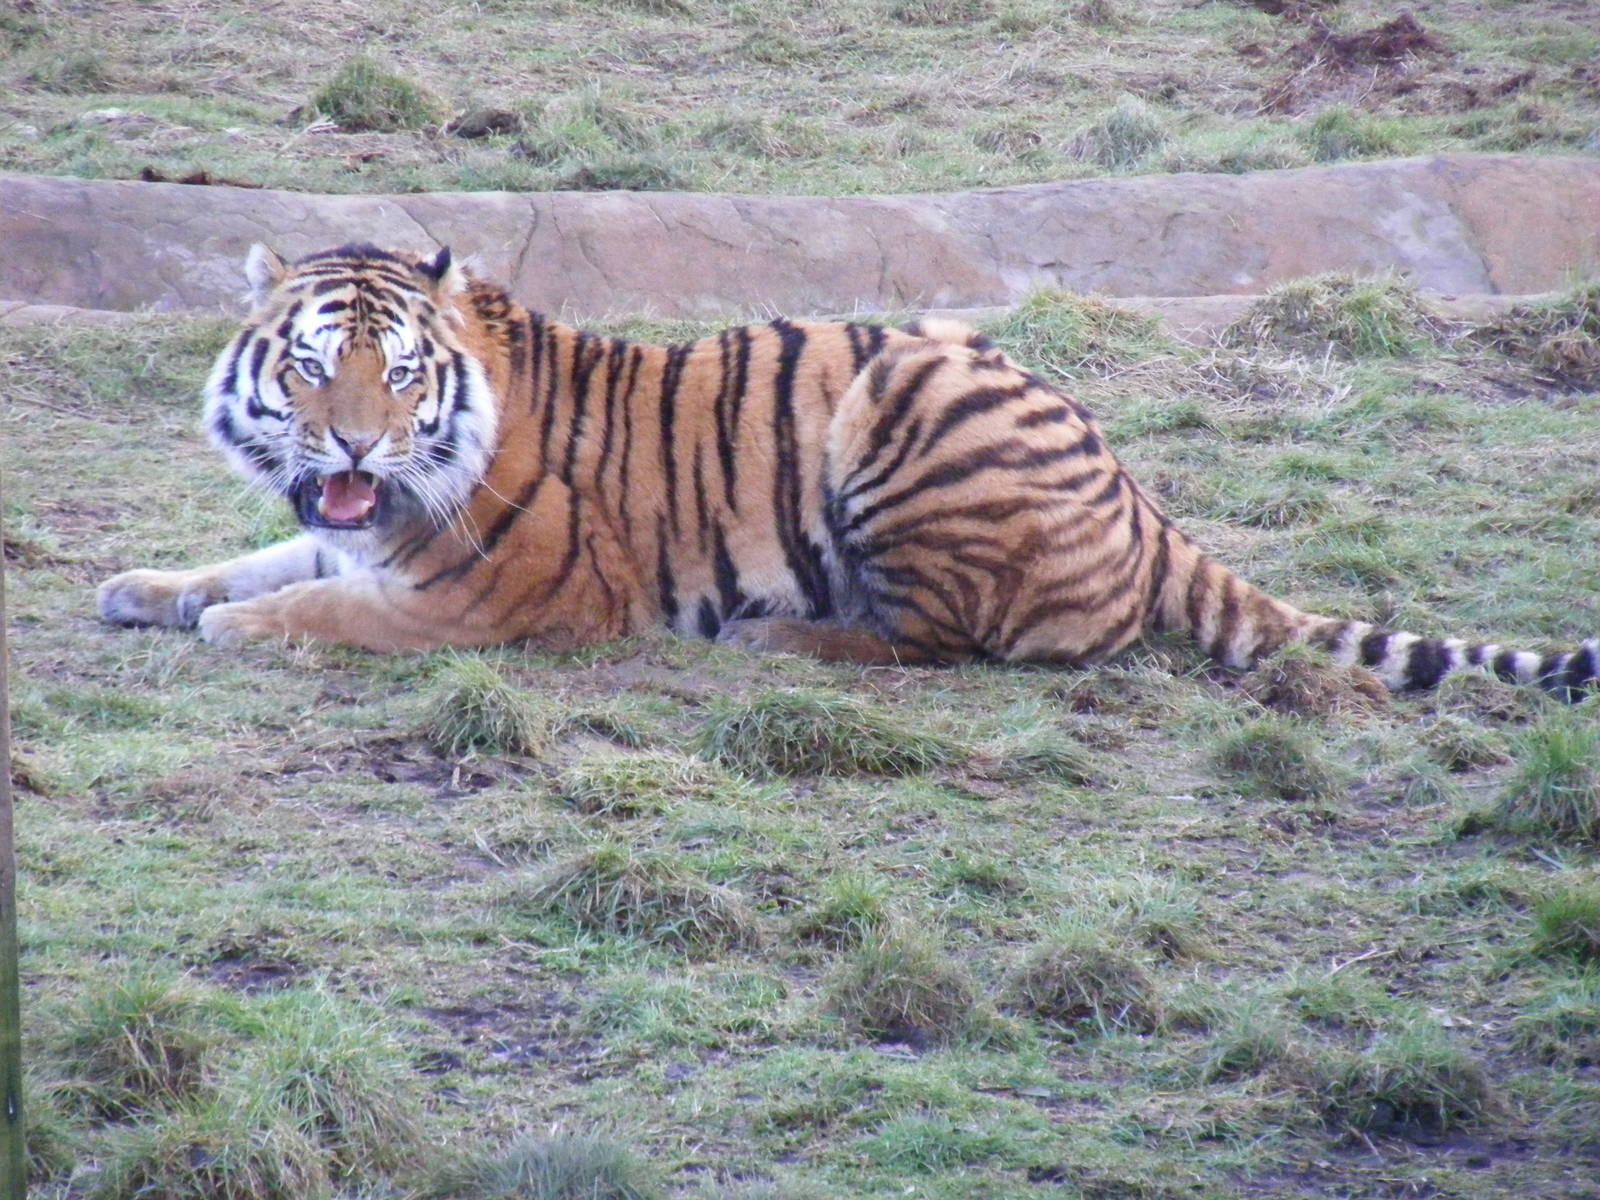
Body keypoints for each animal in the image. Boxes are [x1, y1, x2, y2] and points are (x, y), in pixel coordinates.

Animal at [97, 242, 1599, 699]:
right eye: (310, 368)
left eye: (401, 374)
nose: (354, 439)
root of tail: (1143, 499)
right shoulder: (360, 527)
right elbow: (264, 555)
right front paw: (142, 586)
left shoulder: (496, 594)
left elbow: (306, 602)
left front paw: (235, 625)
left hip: (900, 399)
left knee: (940, 642)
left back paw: (776, 639)